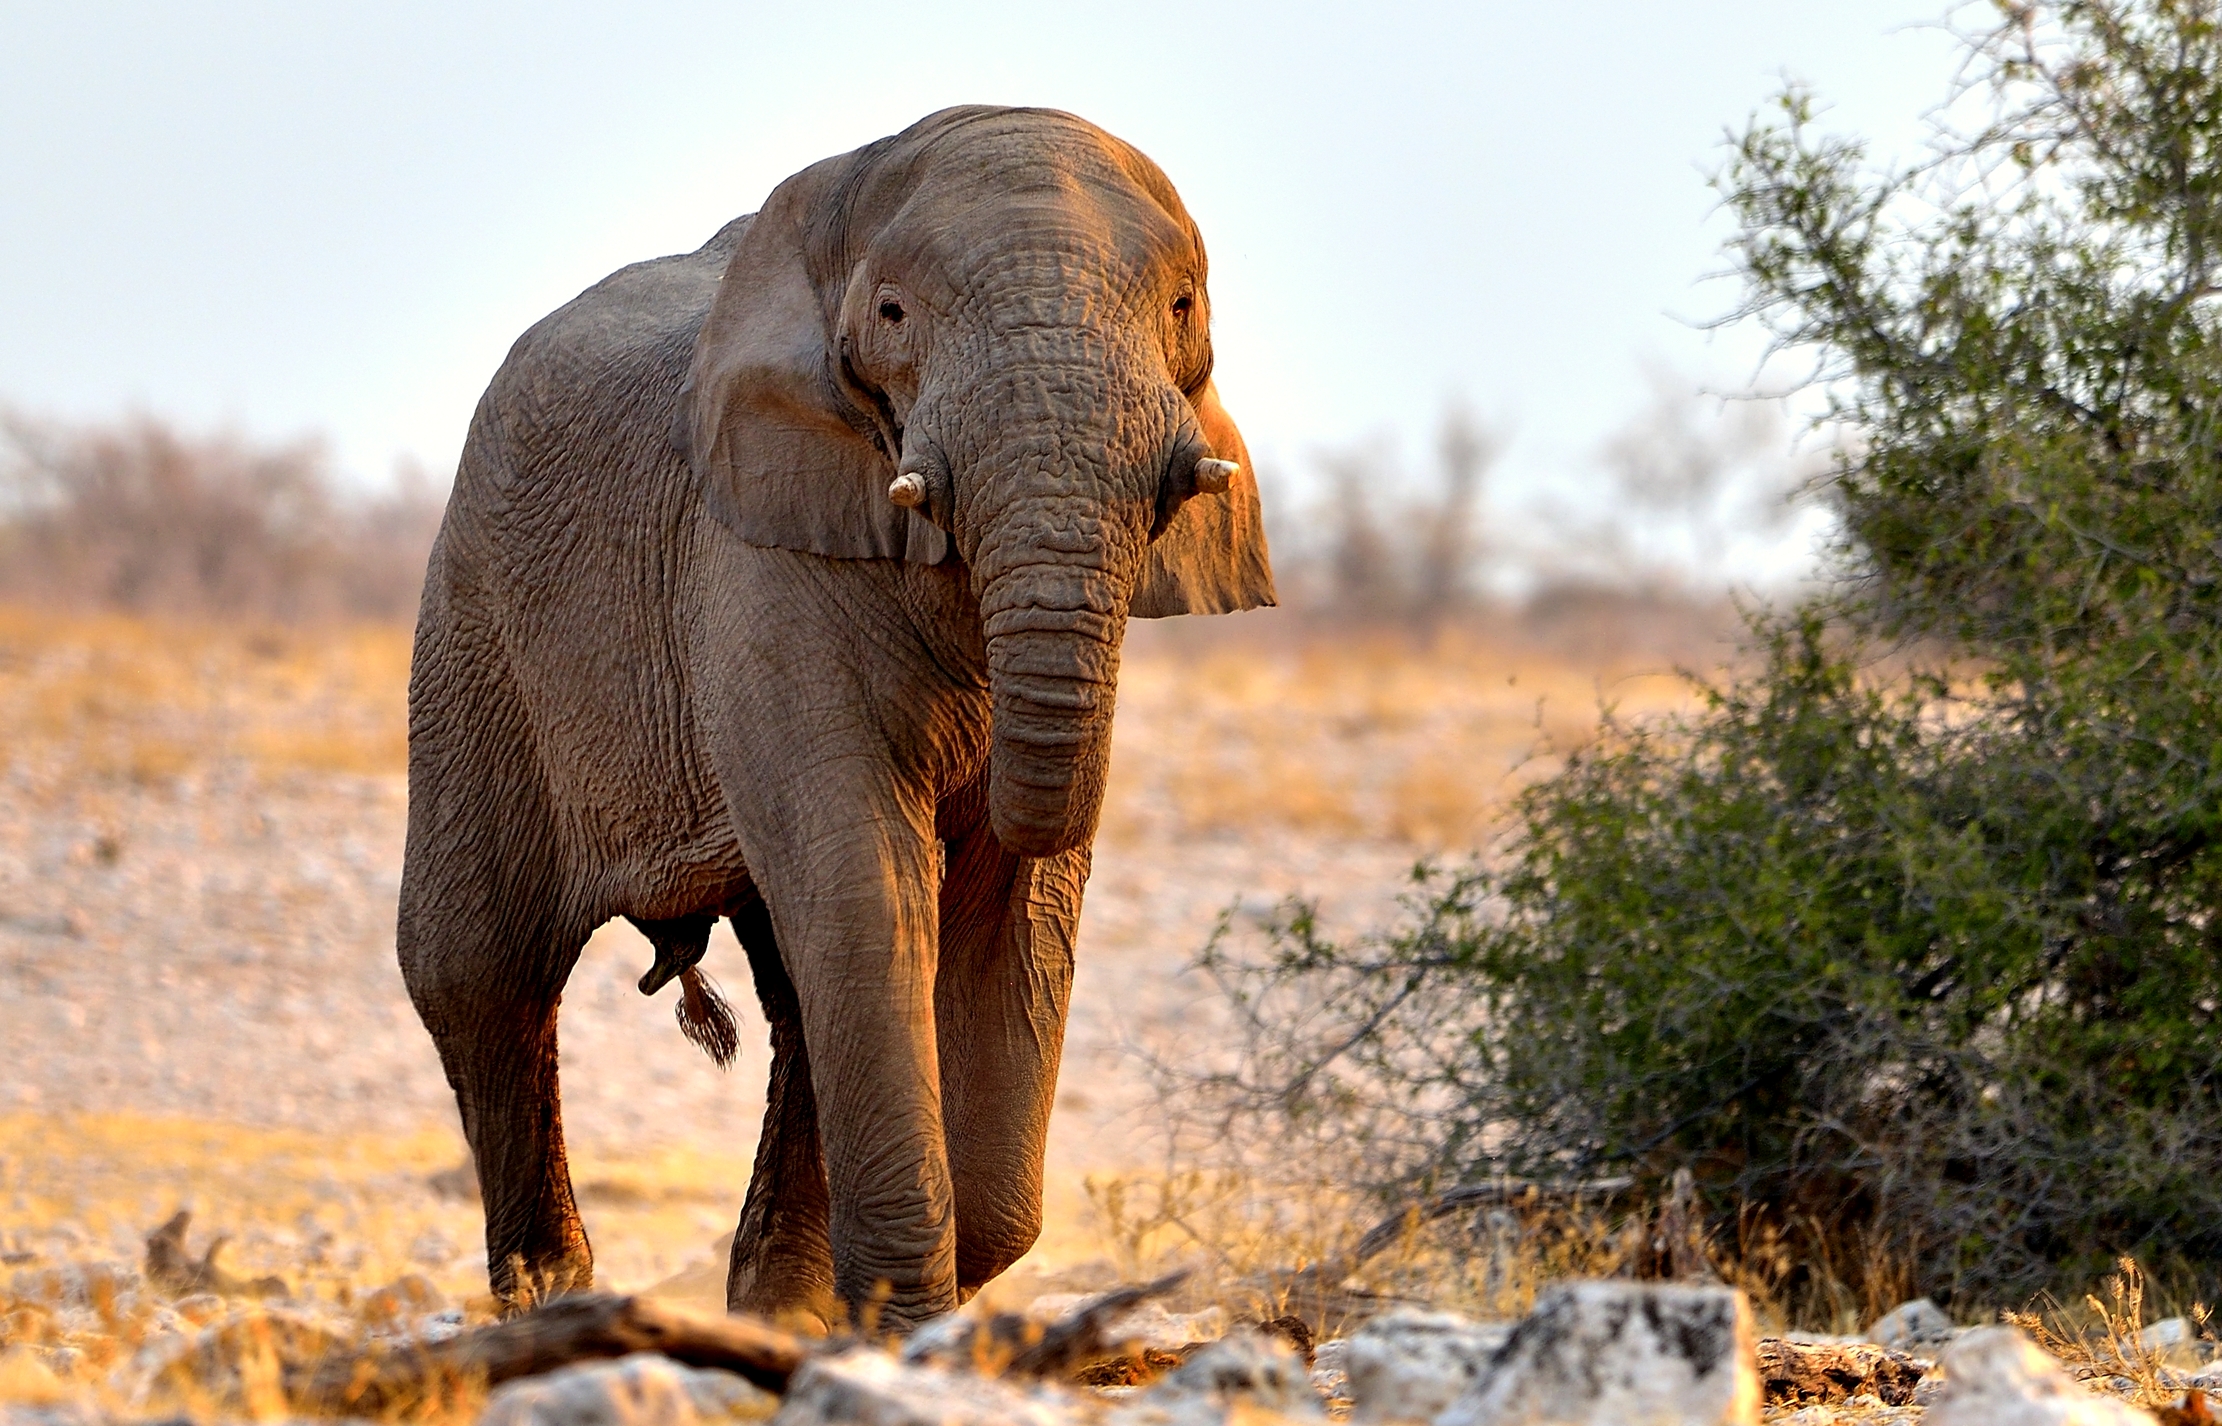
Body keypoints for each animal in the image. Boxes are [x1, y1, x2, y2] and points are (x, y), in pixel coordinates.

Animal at [397, 105, 1274, 1331]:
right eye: (894, 314)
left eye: (1184, 305)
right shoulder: (754, 551)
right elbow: (867, 877)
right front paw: (898, 1318)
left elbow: (1015, 905)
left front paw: (898, 1308)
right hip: (474, 626)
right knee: (479, 968)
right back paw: (548, 1299)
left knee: (798, 987)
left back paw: (774, 1309)